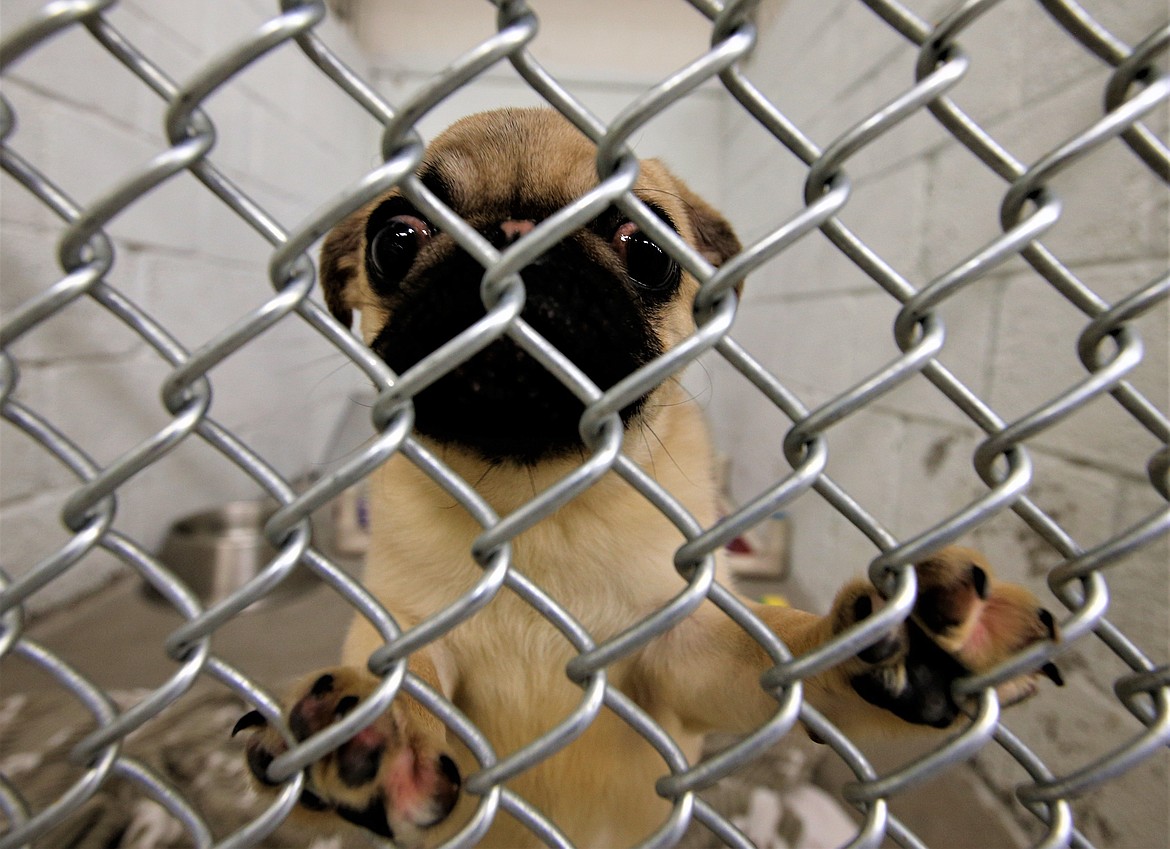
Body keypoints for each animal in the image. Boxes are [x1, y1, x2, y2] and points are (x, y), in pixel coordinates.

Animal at [235, 108, 1062, 849]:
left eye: (647, 250)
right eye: (395, 239)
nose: (515, 238)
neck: (532, 501)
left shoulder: (684, 655)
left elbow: (778, 655)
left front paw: (892, 638)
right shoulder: (402, 626)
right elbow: (401, 675)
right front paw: (378, 726)